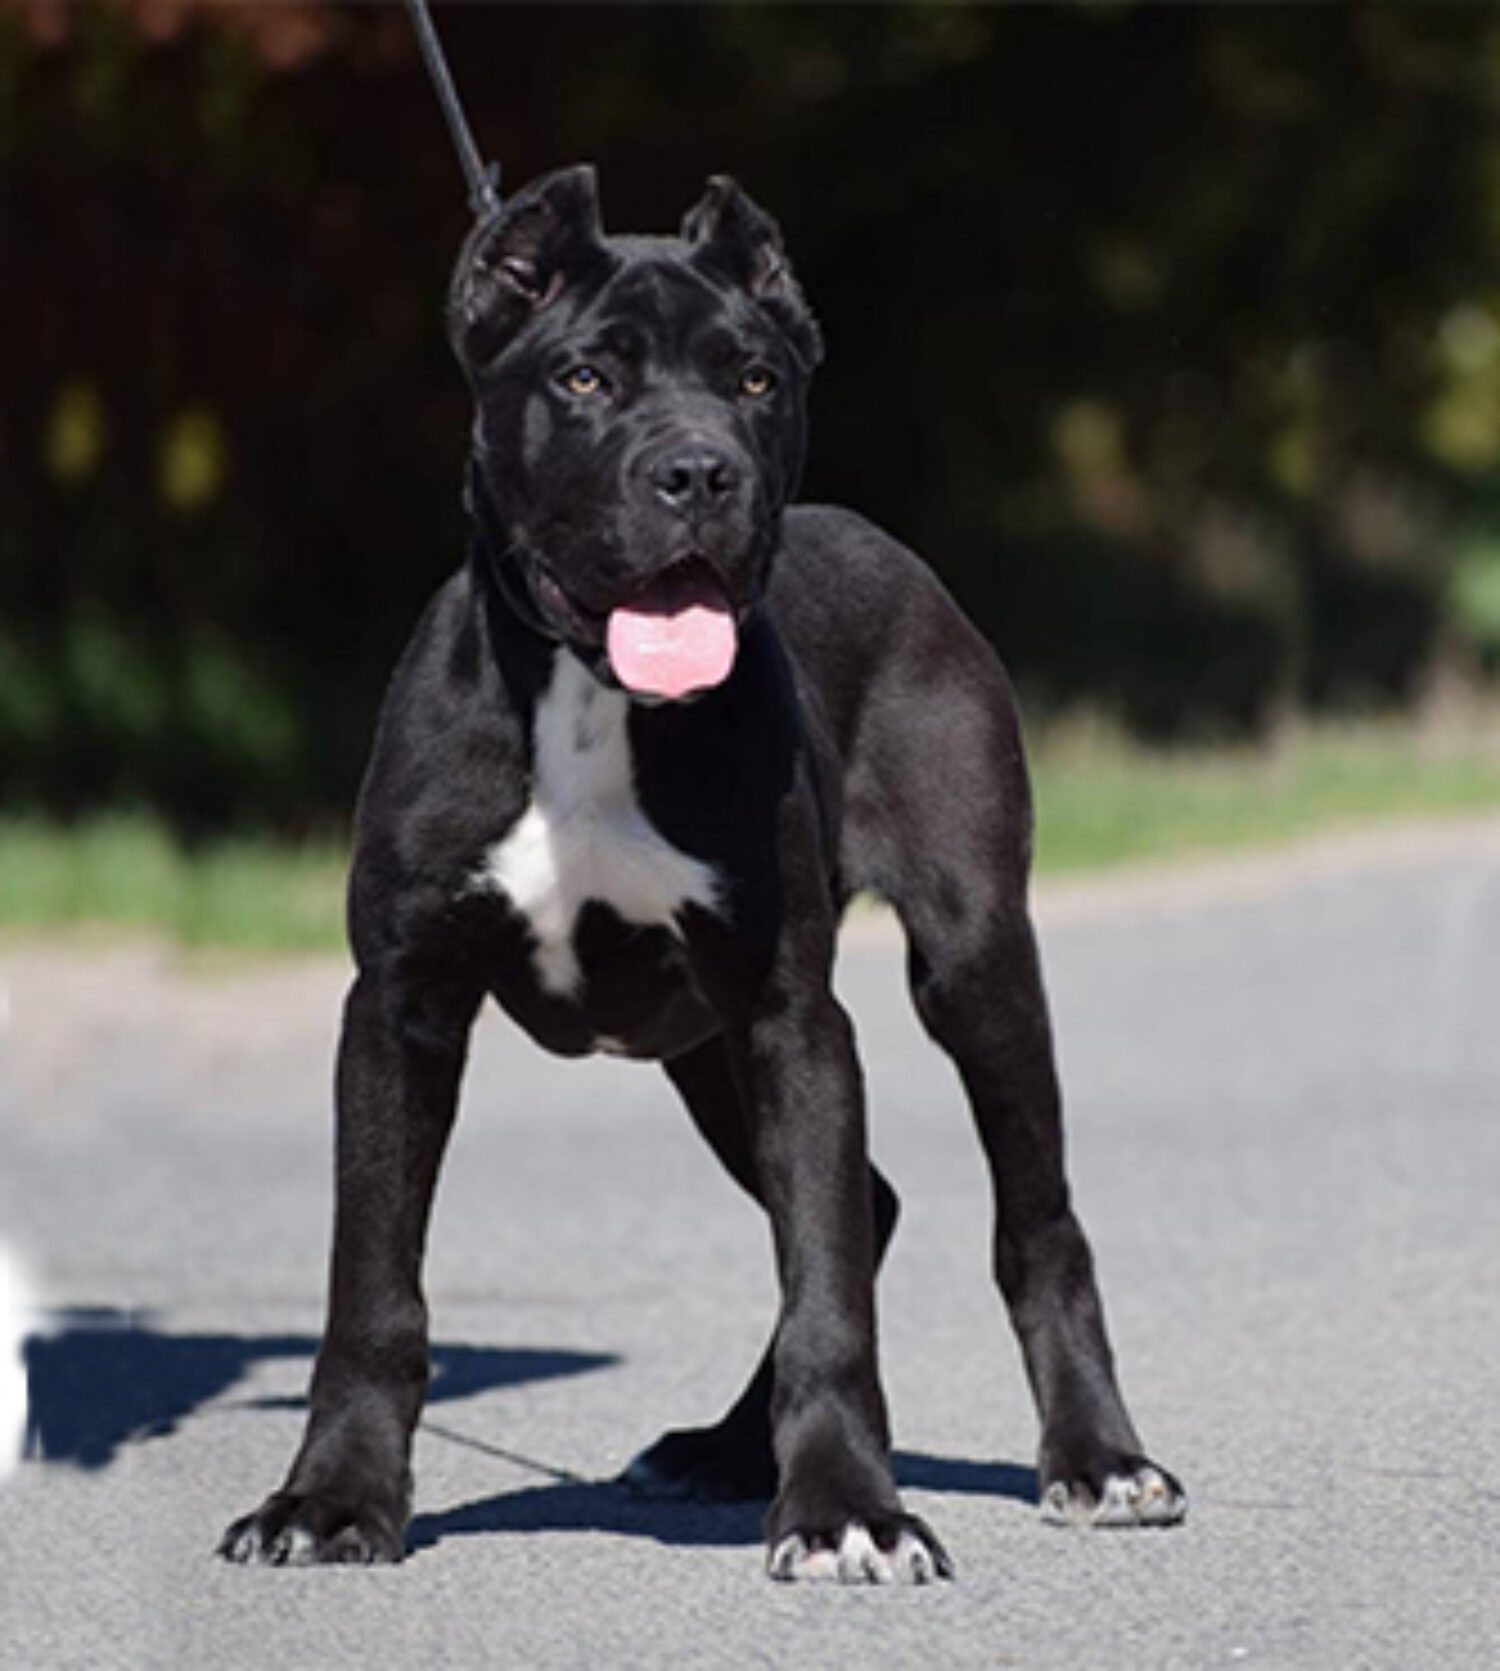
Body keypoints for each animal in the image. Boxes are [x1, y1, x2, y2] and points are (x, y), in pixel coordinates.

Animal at [220, 166, 1184, 1581]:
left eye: (753, 379)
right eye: (582, 379)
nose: (699, 473)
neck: (590, 697)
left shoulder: (792, 1013)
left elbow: (830, 1287)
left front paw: (848, 1511)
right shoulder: (400, 1009)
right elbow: (371, 1283)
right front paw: (330, 1501)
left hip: (969, 960)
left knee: (1031, 1221)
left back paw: (1099, 1459)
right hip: (701, 1052)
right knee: (870, 1203)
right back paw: (725, 1451)